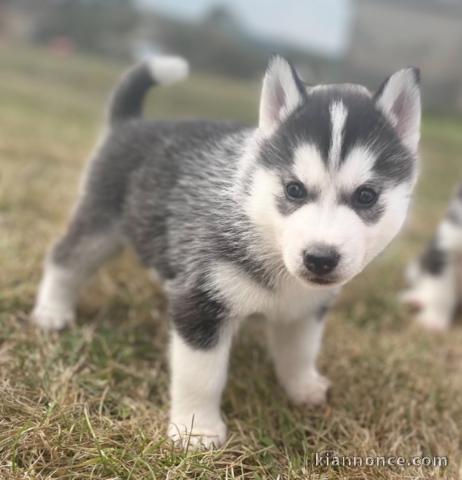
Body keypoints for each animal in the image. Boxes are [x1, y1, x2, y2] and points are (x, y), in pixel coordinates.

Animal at [31, 56, 422, 450]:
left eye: (366, 196)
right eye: (294, 189)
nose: (320, 259)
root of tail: (131, 122)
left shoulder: (307, 308)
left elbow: (300, 350)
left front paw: (303, 387)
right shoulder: (201, 302)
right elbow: (202, 376)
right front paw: (197, 431)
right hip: (101, 224)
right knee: (66, 257)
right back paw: (52, 310)